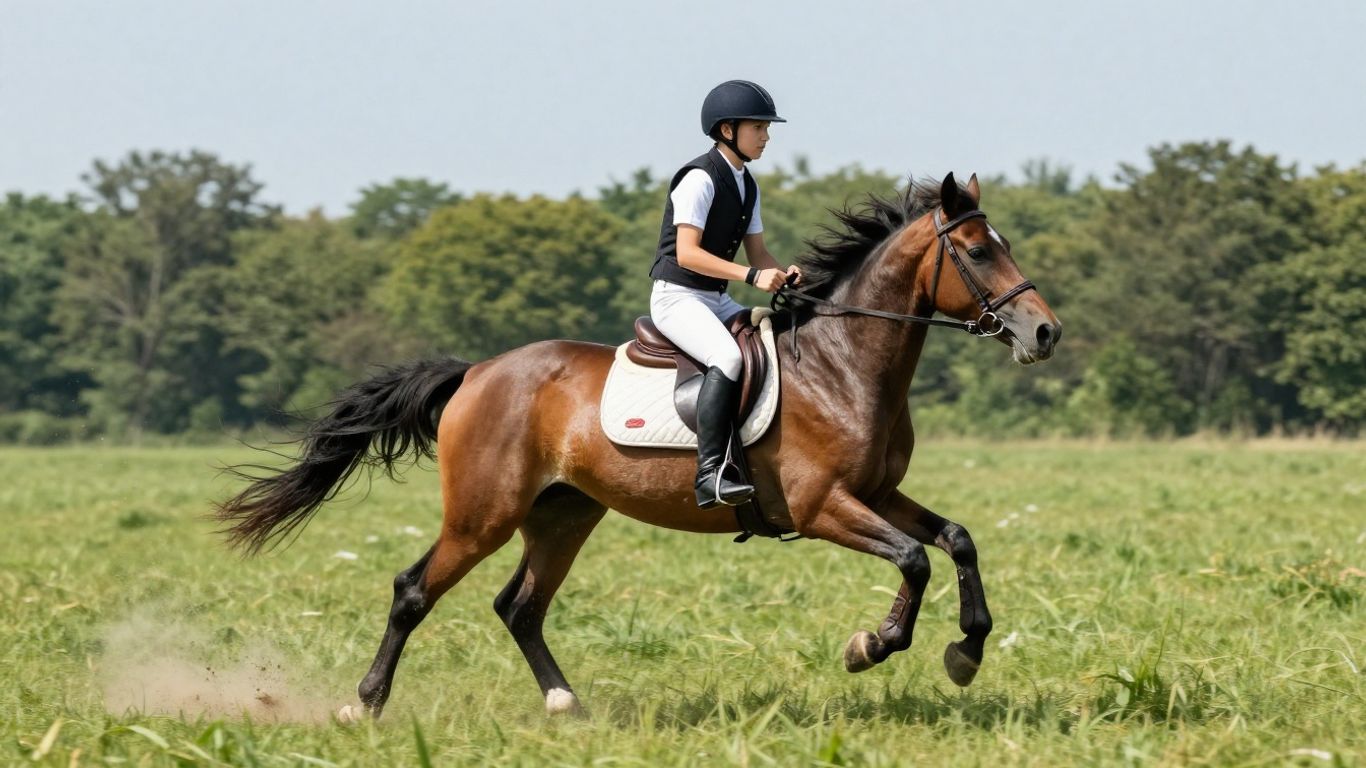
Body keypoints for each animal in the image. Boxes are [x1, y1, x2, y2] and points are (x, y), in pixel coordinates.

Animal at [216, 172, 1061, 719]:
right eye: (977, 252)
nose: (1046, 332)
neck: (842, 365)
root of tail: (478, 373)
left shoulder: (878, 494)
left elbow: (957, 539)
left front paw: (966, 652)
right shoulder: (824, 506)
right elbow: (916, 559)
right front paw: (872, 645)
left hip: (563, 513)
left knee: (519, 606)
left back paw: (566, 705)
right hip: (484, 514)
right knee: (414, 589)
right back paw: (366, 704)